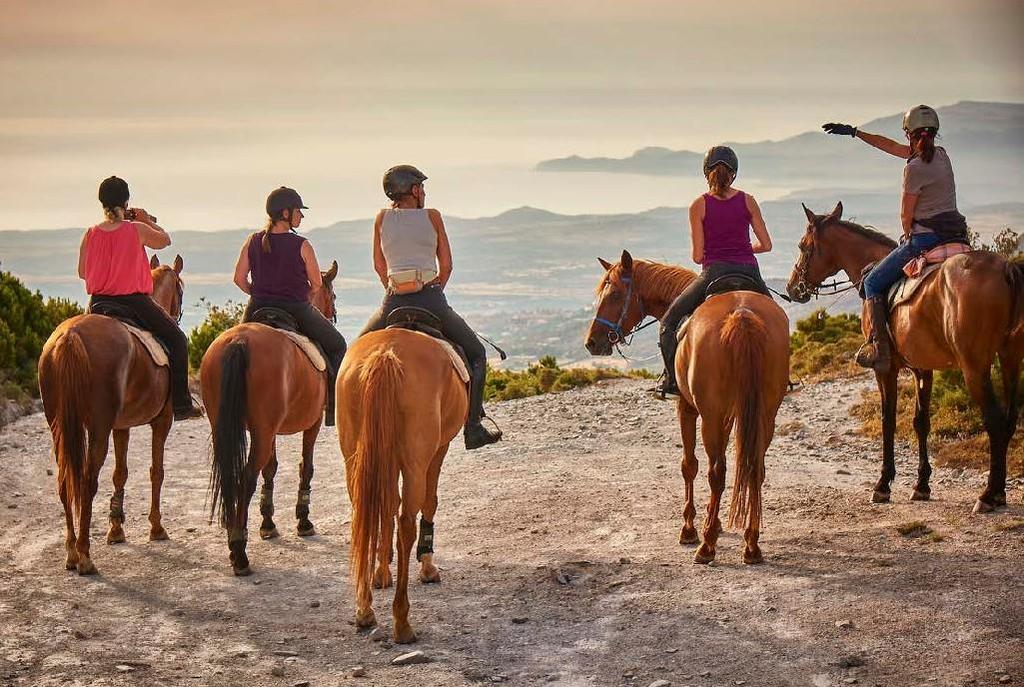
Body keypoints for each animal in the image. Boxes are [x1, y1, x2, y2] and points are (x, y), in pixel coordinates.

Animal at [37, 252, 188, 573]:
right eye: (180, 290)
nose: (177, 313)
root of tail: (69, 337)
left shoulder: (121, 426)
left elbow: (121, 473)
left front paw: (116, 529)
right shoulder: (162, 421)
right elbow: (156, 471)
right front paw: (156, 527)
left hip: (60, 424)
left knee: (65, 481)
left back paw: (71, 552)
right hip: (97, 427)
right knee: (86, 481)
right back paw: (84, 556)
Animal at [201, 261, 337, 573]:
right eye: (332, 295)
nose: (333, 314)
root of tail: (239, 341)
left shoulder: (269, 429)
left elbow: (271, 469)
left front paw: (268, 524)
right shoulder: (312, 424)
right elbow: (305, 466)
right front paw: (303, 521)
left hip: (231, 426)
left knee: (233, 476)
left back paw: (236, 540)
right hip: (263, 431)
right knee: (245, 478)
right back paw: (239, 551)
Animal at [339, 327, 468, 647]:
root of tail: (386, 353)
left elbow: (386, 507)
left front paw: (381, 571)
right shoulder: (438, 450)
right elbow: (430, 503)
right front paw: (428, 567)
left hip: (354, 456)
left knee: (364, 516)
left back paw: (364, 610)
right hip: (415, 461)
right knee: (407, 523)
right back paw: (402, 622)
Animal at [585, 252, 790, 565]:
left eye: (616, 294)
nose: (592, 342)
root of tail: (742, 315)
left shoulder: (688, 408)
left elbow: (689, 465)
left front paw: (690, 528)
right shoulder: (728, 415)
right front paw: (714, 522)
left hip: (711, 416)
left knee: (716, 472)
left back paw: (706, 546)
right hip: (764, 414)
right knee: (755, 468)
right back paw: (751, 544)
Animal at [786, 201, 1019, 513]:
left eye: (803, 246)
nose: (791, 288)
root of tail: (1005, 268)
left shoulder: (885, 370)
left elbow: (888, 420)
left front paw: (883, 485)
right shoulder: (923, 368)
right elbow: (921, 423)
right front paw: (921, 485)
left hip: (975, 367)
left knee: (994, 421)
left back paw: (988, 495)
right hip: (1010, 358)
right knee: (1009, 420)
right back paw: (999, 492)